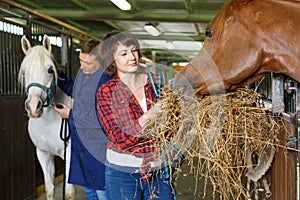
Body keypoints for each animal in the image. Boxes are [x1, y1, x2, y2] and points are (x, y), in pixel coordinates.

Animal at [18, 35, 75, 199]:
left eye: (50, 70)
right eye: (24, 72)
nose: (33, 106)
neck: (48, 123)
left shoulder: (70, 155)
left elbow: (69, 192)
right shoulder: (44, 155)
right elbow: (49, 189)